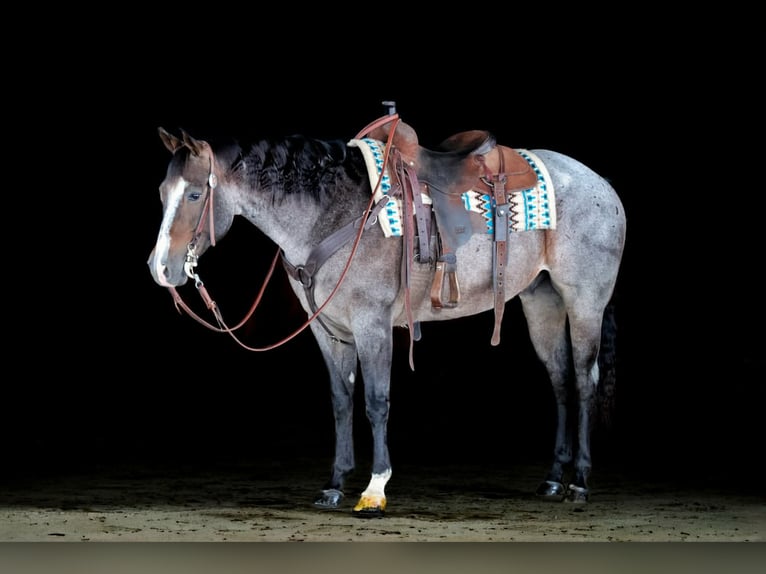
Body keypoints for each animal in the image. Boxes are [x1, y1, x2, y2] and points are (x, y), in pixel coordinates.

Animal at [147, 112, 626, 517]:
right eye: (162, 193)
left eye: (195, 194)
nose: (160, 269)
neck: (333, 213)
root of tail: (602, 184)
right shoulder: (329, 330)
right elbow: (342, 401)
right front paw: (334, 485)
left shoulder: (372, 324)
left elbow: (377, 402)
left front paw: (375, 489)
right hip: (541, 300)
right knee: (560, 379)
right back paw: (553, 479)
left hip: (584, 301)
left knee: (584, 380)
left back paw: (580, 482)